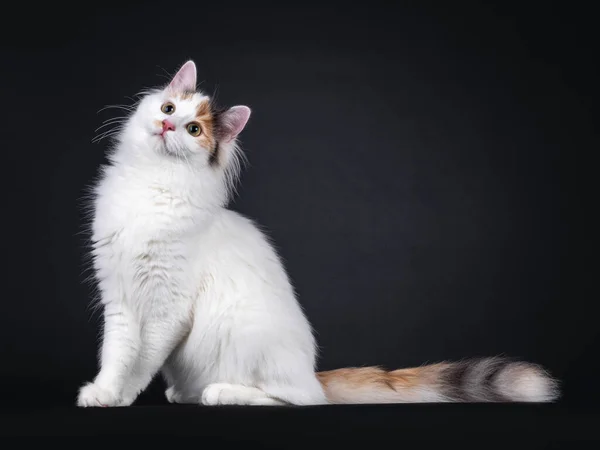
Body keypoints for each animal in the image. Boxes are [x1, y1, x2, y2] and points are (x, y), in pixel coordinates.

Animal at [77, 59, 560, 408]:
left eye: (194, 130)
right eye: (168, 109)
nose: (166, 126)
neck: (151, 186)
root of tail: (311, 372)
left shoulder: (166, 309)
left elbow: (140, 361)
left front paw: (120, 396)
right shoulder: (119, 298)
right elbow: (116, 354)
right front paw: (103, 392)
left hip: (247, 336)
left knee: (297, 399)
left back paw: (222, 393)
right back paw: (186, 392)